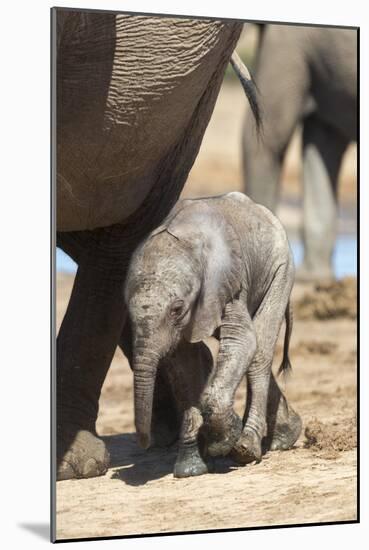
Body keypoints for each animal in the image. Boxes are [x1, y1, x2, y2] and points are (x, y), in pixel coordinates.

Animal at [125, 194, 300, 478]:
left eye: (176, 309)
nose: (146, 443)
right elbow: (183, 364)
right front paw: (191, 469)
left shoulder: (226, 283)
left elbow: (242, 341)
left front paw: (222, 442)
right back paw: (284, 437)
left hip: (281, 268)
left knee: (259, 351)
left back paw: (246, 448)